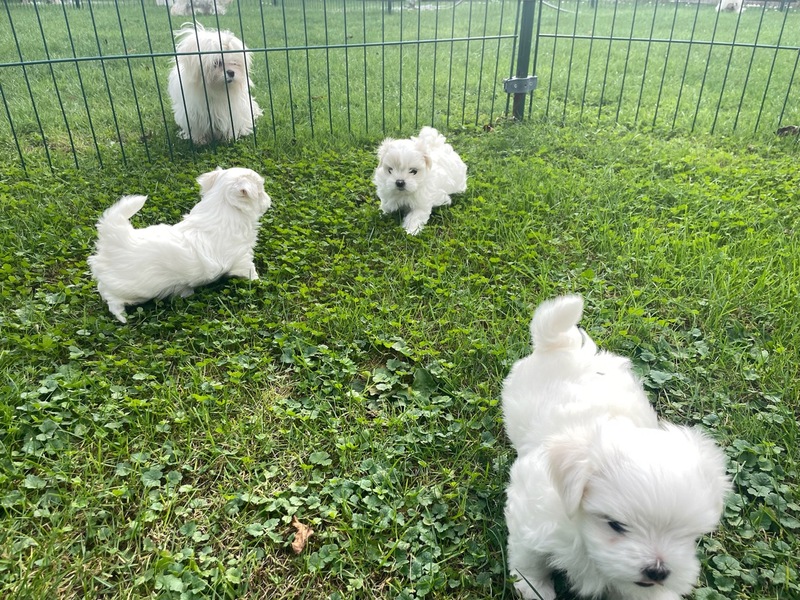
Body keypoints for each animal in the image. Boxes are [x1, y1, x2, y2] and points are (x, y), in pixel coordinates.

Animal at [88, 167, 271, 323]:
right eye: (261, 191)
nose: (269, 199)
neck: (222, 210)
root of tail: (114, 239)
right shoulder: (242, 258)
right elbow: (251, 272)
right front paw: (260, 282)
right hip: (129, 288)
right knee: (112, 299)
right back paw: (122, 316)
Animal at [502, 295, 730, 600]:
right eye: (615, 525)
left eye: (687, 535)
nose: (658, 570)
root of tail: (563, 345)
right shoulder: (530, 519)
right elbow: (530, 560)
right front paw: (536, 588)